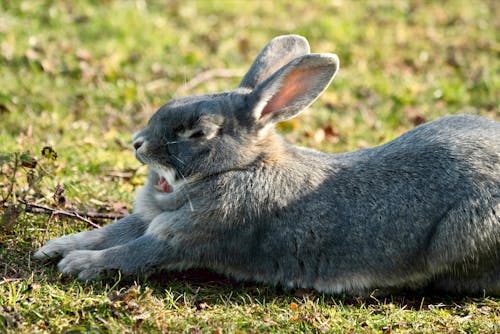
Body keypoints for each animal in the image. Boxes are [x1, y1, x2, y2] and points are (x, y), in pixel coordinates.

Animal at [33, 34, 498, 294]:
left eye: (198, 133)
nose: (138, 144)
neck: (238, 168)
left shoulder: (186, 237)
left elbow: (133, 252)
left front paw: (79, 265)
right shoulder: (153, 218)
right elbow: (112, 230)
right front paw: (57, 247)